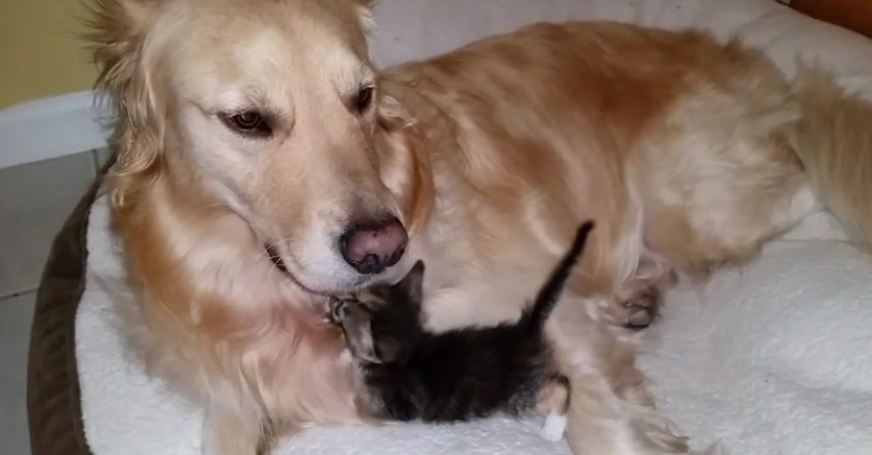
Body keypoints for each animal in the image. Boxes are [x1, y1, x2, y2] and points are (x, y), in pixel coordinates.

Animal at [90, 0, 872, 454]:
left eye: (362, 97)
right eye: (247, 120)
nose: (383, 247)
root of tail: (760, 68)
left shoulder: (548, 312)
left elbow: (605, 423)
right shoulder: (236, 396)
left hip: (692, 200)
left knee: (809, 167)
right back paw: (636, 293)